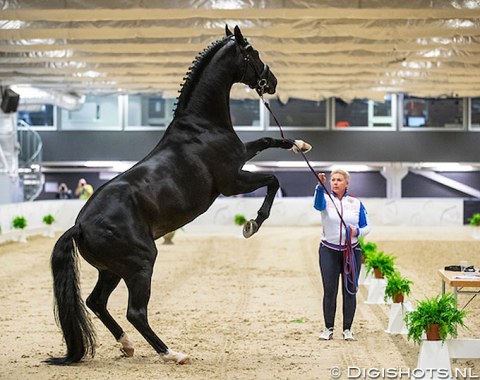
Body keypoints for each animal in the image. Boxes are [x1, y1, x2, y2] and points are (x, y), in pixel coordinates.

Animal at [47, 26, 312, 366]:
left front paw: (300, 145)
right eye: (252, 53)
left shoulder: (242, 156)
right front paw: (252, 224)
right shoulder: (233, 181)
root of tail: (79, 225)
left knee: (96, 302)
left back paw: (127, 345)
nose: (273, 81)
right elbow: (273, 180)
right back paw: (172, 353)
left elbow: (266, 140)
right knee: (135, 312)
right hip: (141, 263)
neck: (201, 127)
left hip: (112, 270)